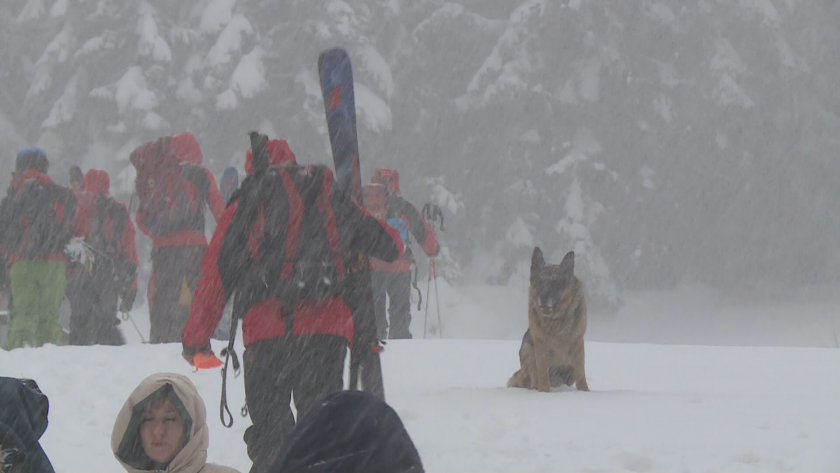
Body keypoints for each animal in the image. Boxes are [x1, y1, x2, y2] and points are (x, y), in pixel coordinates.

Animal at [508, 247, 588, 390]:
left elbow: (580, 373)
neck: (556, 321)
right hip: (528, 349)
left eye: (555, 283)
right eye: (540, 282)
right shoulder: (540, 344)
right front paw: (544, 392)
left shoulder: (578, 342)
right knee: (533, 377)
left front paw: (584, 391)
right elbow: (542, 372)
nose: (543, 298)